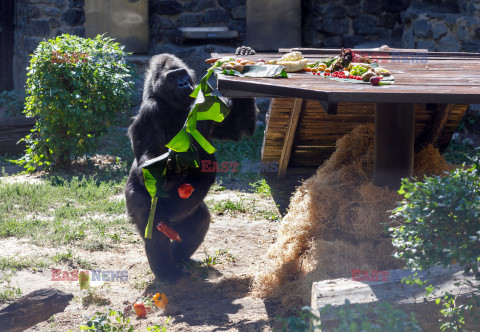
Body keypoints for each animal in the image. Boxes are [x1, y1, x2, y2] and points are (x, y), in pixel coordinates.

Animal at [125, 52, 256, 280]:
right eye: (172, 77)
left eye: (182, 74)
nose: (183, 83)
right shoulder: (150, 111)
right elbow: (147, 160)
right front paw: (170, 171)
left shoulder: (206, 105)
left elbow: (238, 125)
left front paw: (241, 59)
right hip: (136, 196)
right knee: (154, 229)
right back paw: (166, 272)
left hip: (180, 217)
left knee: (198, 222)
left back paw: (179, 260)